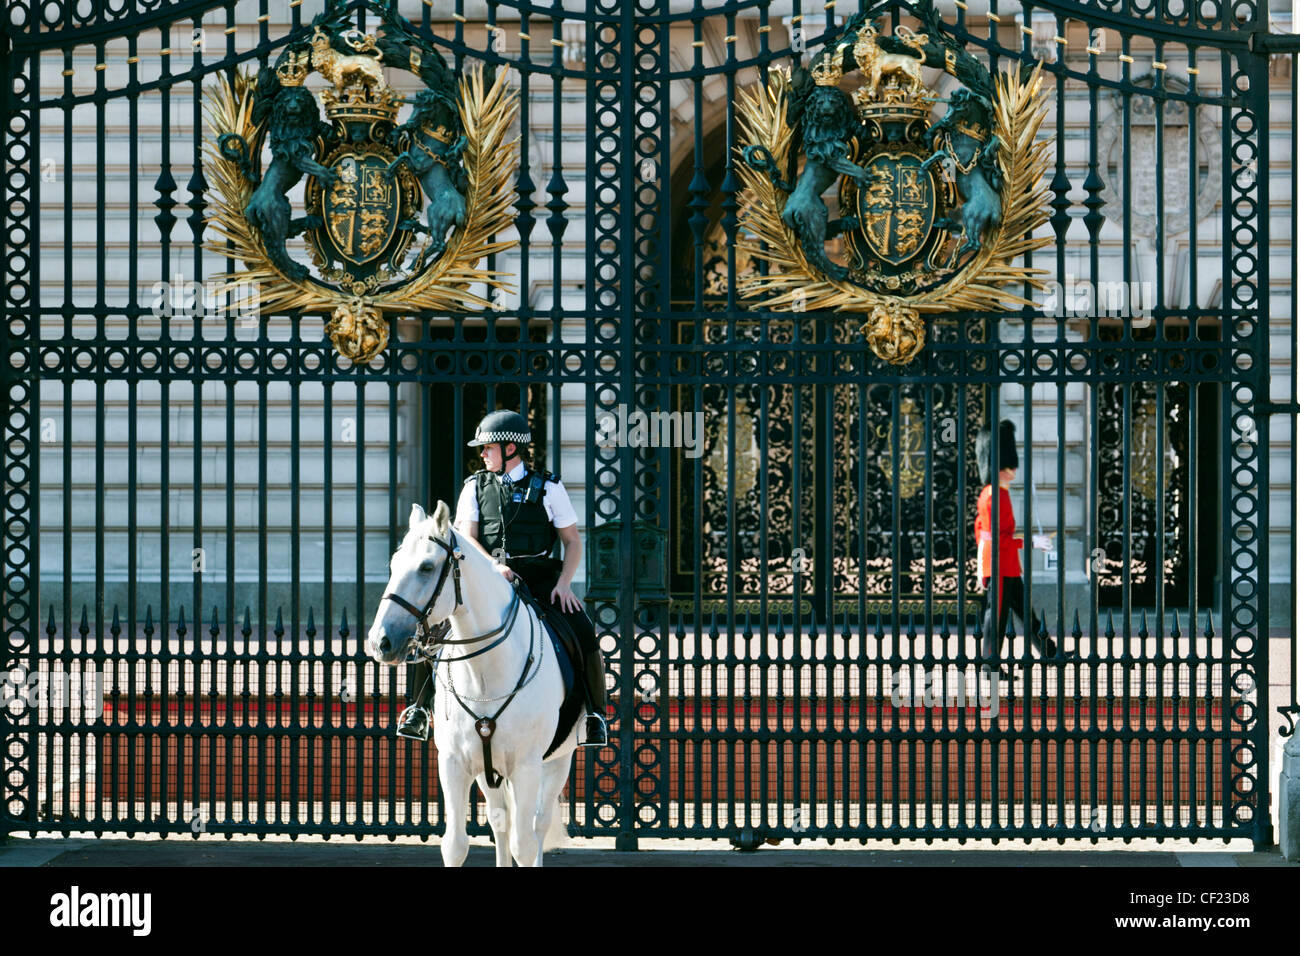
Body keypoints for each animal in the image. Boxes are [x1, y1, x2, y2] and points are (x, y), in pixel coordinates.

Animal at [364, 502, 572, 868]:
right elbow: (456, 845)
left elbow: (525, 844)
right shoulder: (454, 763)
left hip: (559, 761)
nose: (380, 642)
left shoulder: (527, 766)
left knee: (537, 825)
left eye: (427, 567)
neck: (485, 672)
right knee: (501, 820)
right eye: (393, 565)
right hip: (490, 771)